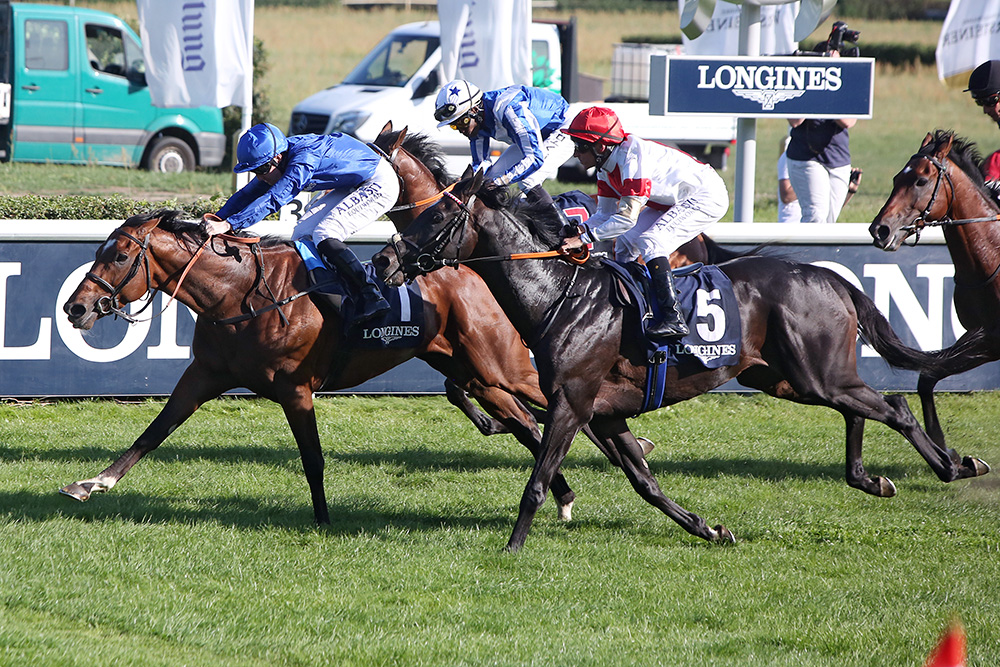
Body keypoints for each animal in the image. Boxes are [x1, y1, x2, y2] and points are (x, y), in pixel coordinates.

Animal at [376, 171, 992, 552]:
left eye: (435, 219)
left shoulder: (571, 403)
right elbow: (644, 482)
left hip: (815, 374)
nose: (382, 260)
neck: (561, 295)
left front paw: (512, 546)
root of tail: (827, 275)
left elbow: (538, 480)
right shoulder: (606, 412)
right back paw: (873, 479)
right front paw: (708, 529)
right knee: (862, 407)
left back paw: (953, 466)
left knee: (893, 406)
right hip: (788, 377)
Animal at [868, 129, 1000, 454]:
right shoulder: (984, 335)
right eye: (896, 178)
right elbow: (927, 376)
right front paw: (942, 446)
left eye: (920, 180)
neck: (991, 257)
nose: (880, 230)